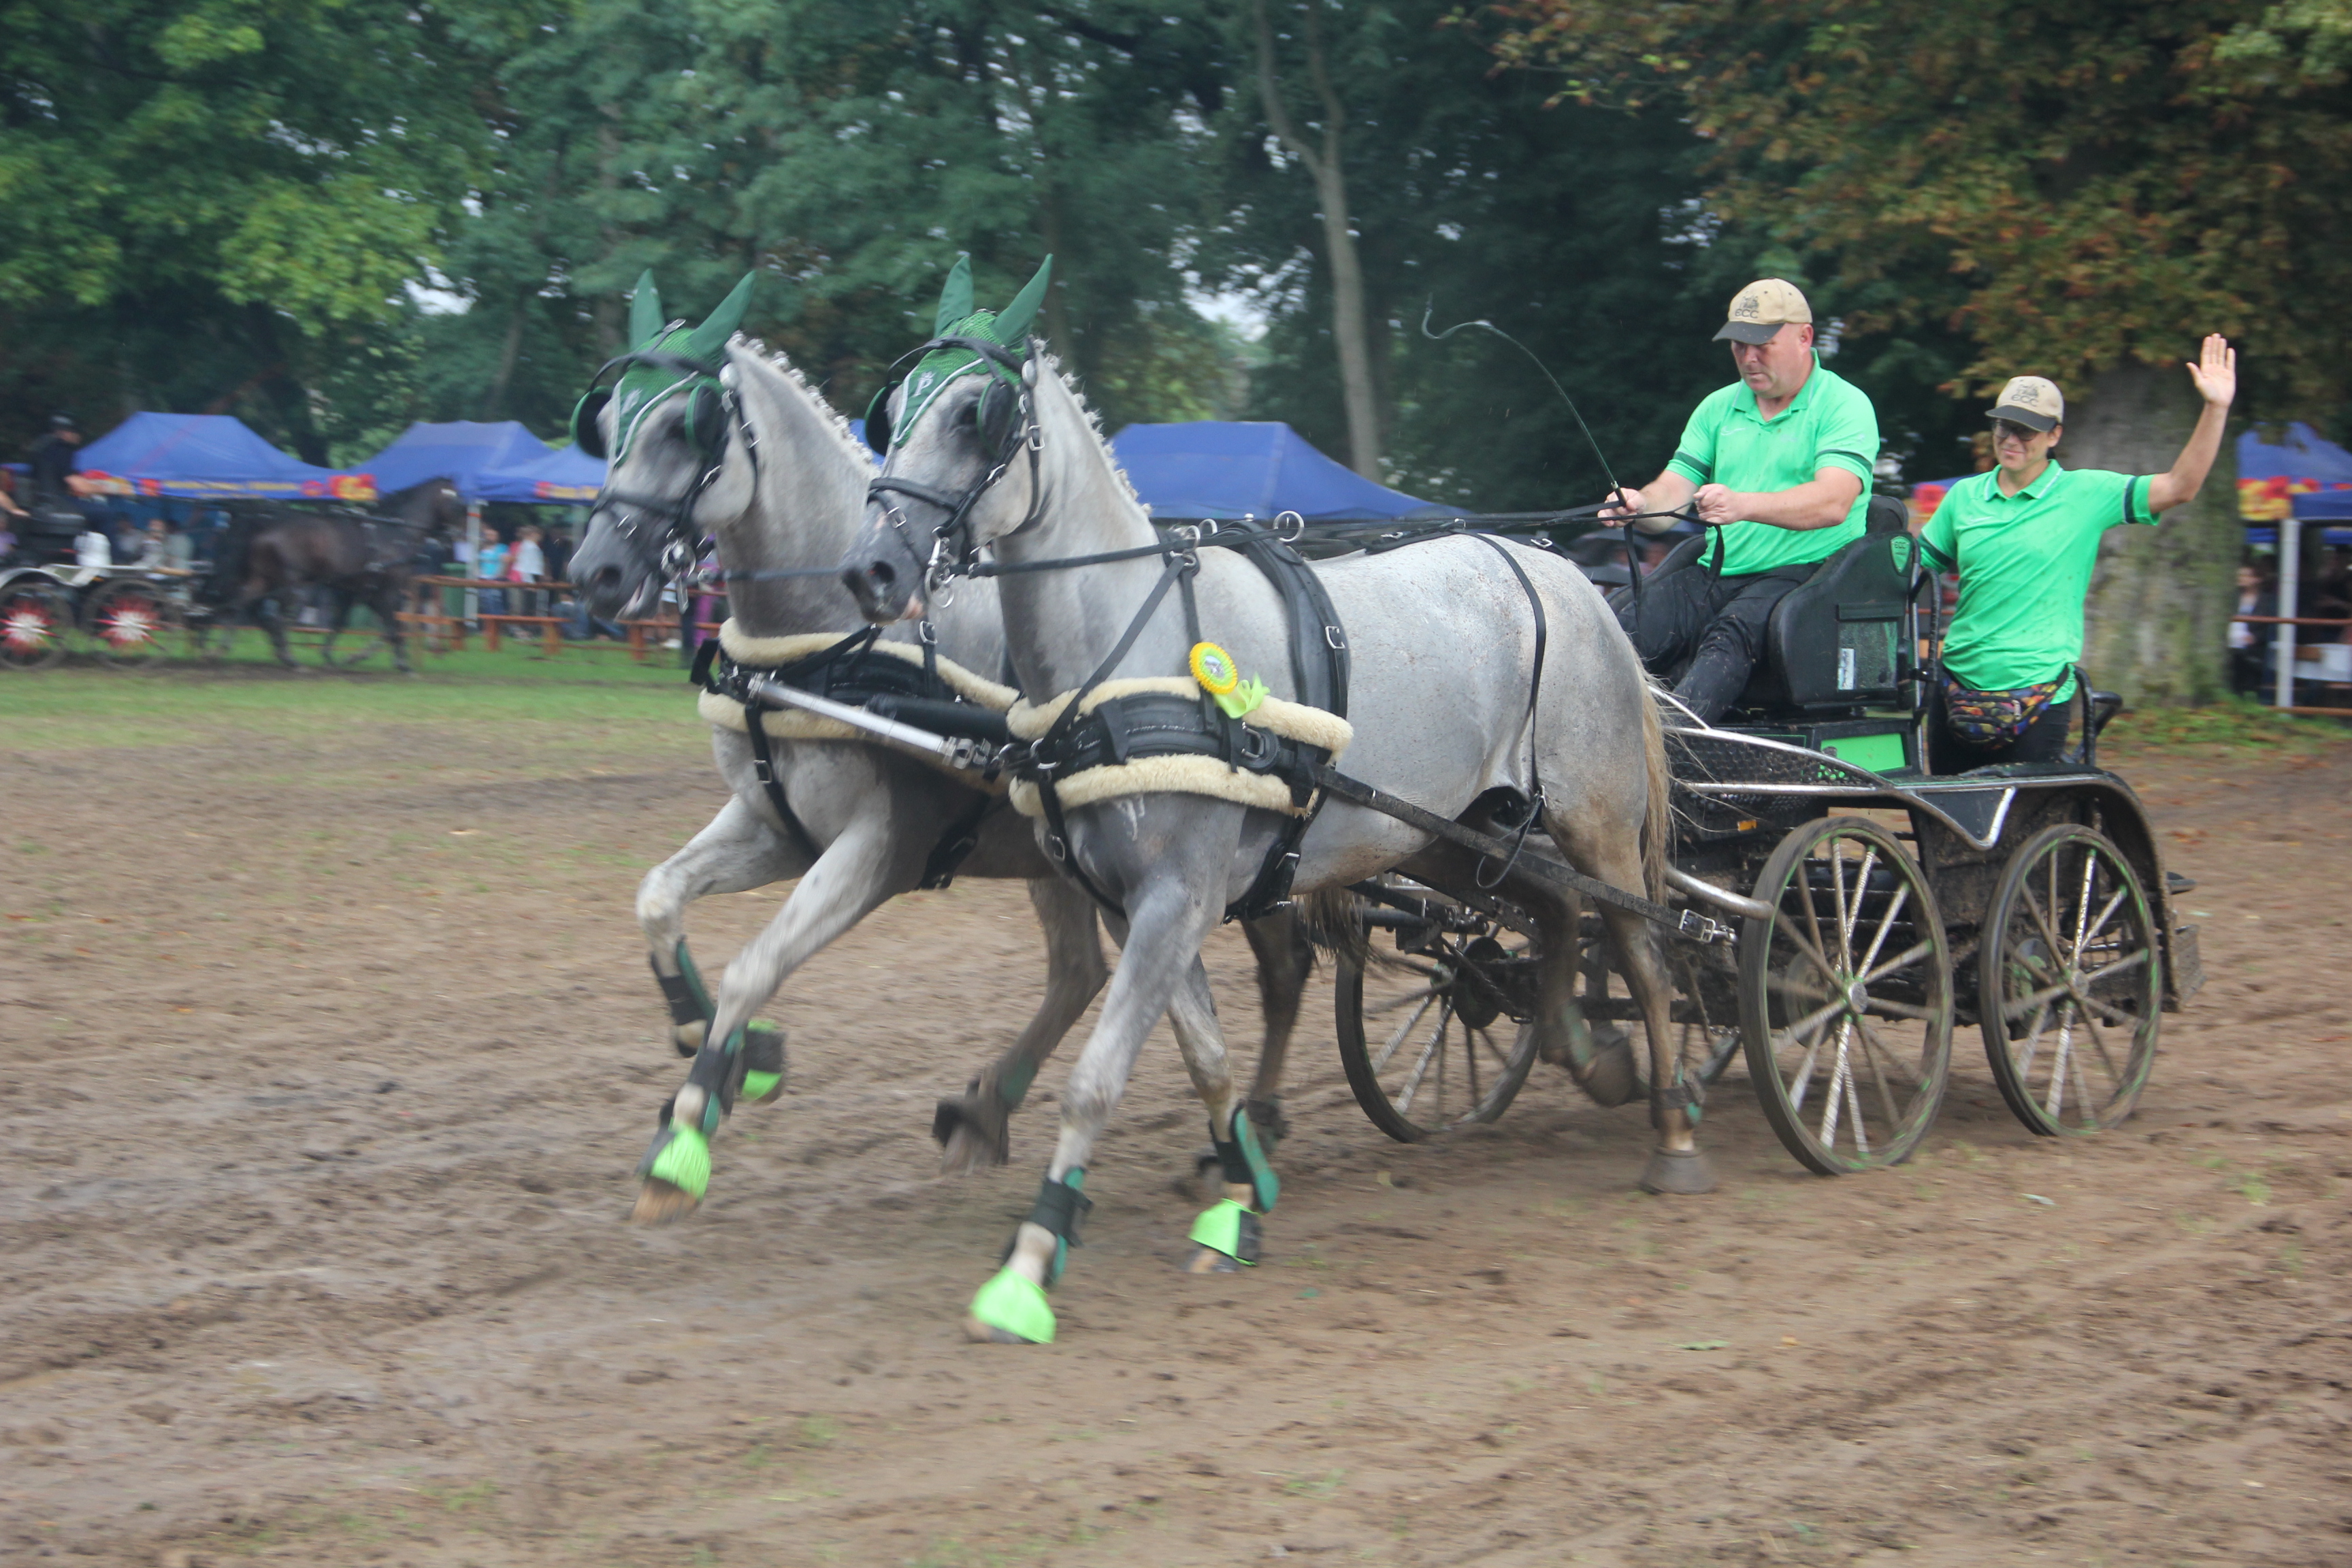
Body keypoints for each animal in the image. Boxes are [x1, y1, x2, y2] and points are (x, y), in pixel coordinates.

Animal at [216, 482, 463, 672]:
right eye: (456, 501)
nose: (456, 536)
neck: (396, 532)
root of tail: (265, 527)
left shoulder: (358, 592)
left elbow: (346, 624)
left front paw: (336, 656)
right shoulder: (386, 592)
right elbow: (393, 627)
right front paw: (402, 664)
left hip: (263, 579)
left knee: (240, 603)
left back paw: (223, 647)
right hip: (293, 586)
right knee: (274, 617)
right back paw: (289, 658)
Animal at [561, 276, 1317, 1222]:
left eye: (680, 428)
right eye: (607, 420)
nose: (593, 573)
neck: (829, 644)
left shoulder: (881, 847)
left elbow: (755, 966)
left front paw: (687, 1136)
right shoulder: (773, 825)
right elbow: (658, 900)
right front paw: (723, 1049)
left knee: (1282, 972)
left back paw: (1257, 1129)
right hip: (1059, 863)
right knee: (1083, 973)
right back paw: (990, 1110)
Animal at [847, 261, 1693, 1354]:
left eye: (972, 414)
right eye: (895, 408)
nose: (871, 567)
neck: (1135, 652)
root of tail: (1570, 581)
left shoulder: (1177, 898)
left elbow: (1099, 1078)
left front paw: (1031, 1261)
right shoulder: (1141, 905)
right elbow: (1205, 1057)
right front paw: (1237, 1192)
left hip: (1593, 823)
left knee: (1637, 948)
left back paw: (1671, 1130)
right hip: (1447, 832)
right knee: (1552, 915)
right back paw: (1585, 1053)